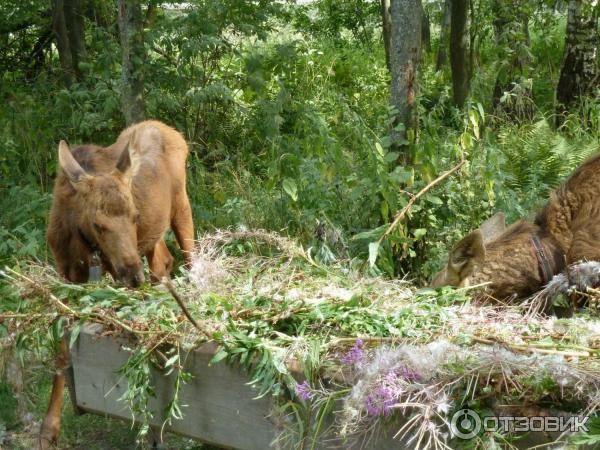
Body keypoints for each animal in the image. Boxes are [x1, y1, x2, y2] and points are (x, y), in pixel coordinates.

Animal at [39, 120, 195, 450]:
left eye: (134, 215)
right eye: (98, 224)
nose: (134, 274)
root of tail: (170, 129)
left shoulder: (117, 269)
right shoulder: (66, 274)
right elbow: (61, 350)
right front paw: (49, 429)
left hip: (180, 209)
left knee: (190, 258)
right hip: (153, 237)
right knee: (162, 263)